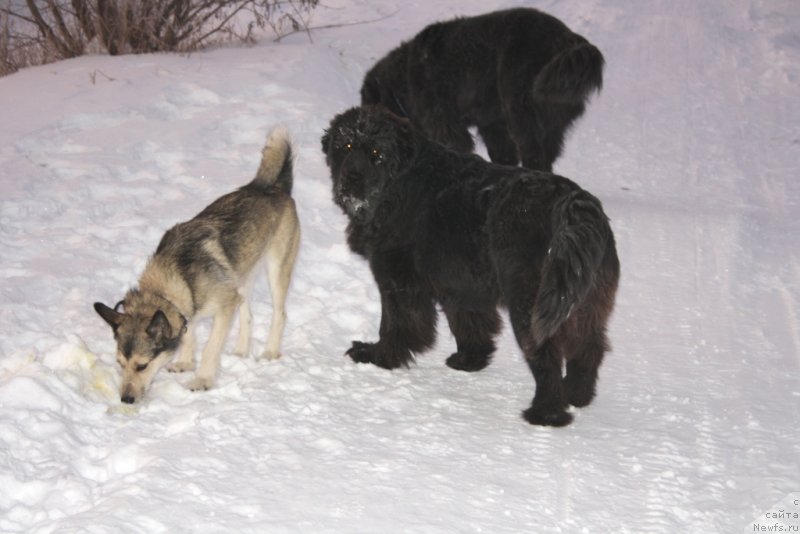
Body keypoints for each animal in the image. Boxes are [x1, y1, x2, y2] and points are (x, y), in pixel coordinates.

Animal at [94, 127, 300, 406]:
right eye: (119, 363)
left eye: (142, 365)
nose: (126, 399)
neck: (176, 278)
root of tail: (271, 187)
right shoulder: (191, 308)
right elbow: (189, 333)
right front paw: (185, 362)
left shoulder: (224, 306)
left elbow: (211, 347)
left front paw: (202, 380)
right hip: (242, 274)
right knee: (247, 314)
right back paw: (241, 351)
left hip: (276, 270)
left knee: (280, 313)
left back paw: (269, 351)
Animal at [322, 107, 620, 430]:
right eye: (346, 146)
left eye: (376, 153)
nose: (351, 177)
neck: (398, 182)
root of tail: (573, 204)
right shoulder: (460, 281)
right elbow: (468, 321)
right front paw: (471, 360)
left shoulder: (397, 275)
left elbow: (396, 323)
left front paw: (380, 356)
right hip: (583, 302)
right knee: (589, 346)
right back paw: (577, 394)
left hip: (531, 304)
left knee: (547, 356)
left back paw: (546, 413)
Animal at [360, 7, 604, 172]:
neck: (404, 83)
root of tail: (567, 40)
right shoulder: (492, 126)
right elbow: (502, 155)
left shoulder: (444, 123)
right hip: (550, 123)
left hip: (520, 108)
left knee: (534, 154)